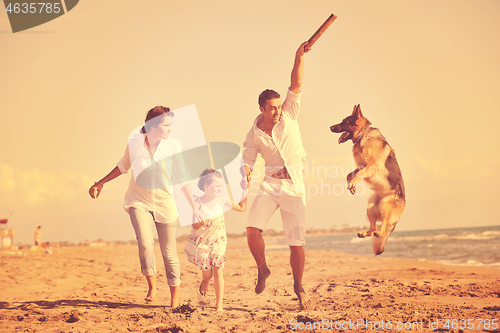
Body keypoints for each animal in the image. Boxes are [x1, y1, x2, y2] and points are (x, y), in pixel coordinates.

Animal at [330, 104, 404, 254]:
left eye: (345, 122)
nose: (330, 127)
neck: (363, 135)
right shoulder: (362, 166)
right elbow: (350, 175)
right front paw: (351, 186)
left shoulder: (371, 167)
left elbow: (357, 175)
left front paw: (352, 184)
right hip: (370, 207)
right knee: (373, 228)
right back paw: (365, 233)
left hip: (385, 205)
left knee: (382, 228)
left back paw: (379, 233)